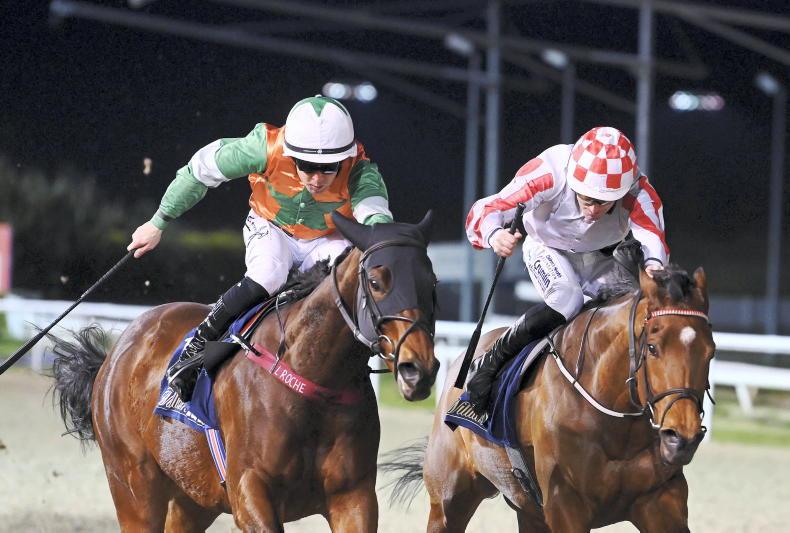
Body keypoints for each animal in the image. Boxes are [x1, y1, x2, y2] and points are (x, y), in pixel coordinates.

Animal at [50, 212, 440, 532]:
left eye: (432, 282)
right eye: (376, 282)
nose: (417, 369)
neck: (314, 380)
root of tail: (114, 354)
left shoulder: (354, 497)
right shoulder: (249, 491)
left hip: (194, 495)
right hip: (133, 487)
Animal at [385, 265, 715, 532]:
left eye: (710, 351)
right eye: (653, 347)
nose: (681, 438)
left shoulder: (660, 501)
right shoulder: (564, 504)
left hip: (528, 511)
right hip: (448, 501)